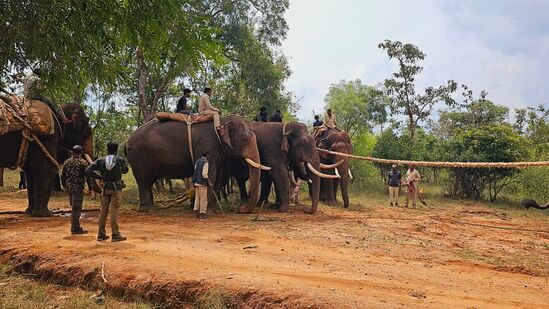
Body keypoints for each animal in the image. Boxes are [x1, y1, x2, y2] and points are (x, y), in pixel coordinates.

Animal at [126, 114, 268, 211]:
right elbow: (210, 175)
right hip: (138, 157)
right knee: (143, 181)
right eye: (244, 139)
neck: (221, 121)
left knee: (148, 182)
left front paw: (215, 211)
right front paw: (210, 211)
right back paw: (147, 209)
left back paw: (151, 207)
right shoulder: (206, 148)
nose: (239, 209)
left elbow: (218, 177)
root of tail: (127, 141)